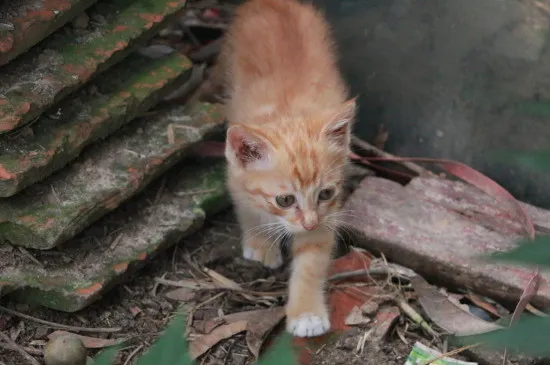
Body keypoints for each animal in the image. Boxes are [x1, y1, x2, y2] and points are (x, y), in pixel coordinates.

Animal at [219, 0, 354, 336]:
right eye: (284, 200)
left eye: (325, 193)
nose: (308, 224)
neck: (287, 114)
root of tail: (272, 2)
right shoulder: (235, 177)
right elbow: (248, 208)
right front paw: (260, 242)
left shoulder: (327, 216)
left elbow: (311, 260)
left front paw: (306, 313)